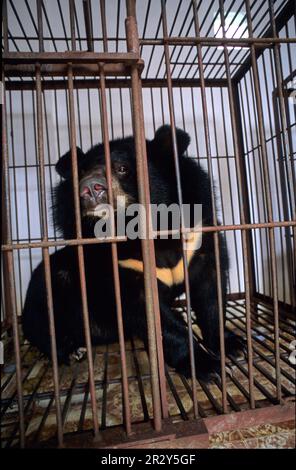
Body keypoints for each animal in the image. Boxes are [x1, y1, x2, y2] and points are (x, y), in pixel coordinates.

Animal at [21, 126, 240, 382]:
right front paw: (207, 366)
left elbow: (211, 293)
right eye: (80, 173)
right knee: (45, 326)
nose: (90, 187)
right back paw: (73, 350)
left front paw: (232, 346)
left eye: (122, 168)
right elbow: (153, 317)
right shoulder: (119, 264)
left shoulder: (199, 238)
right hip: (47, 291)